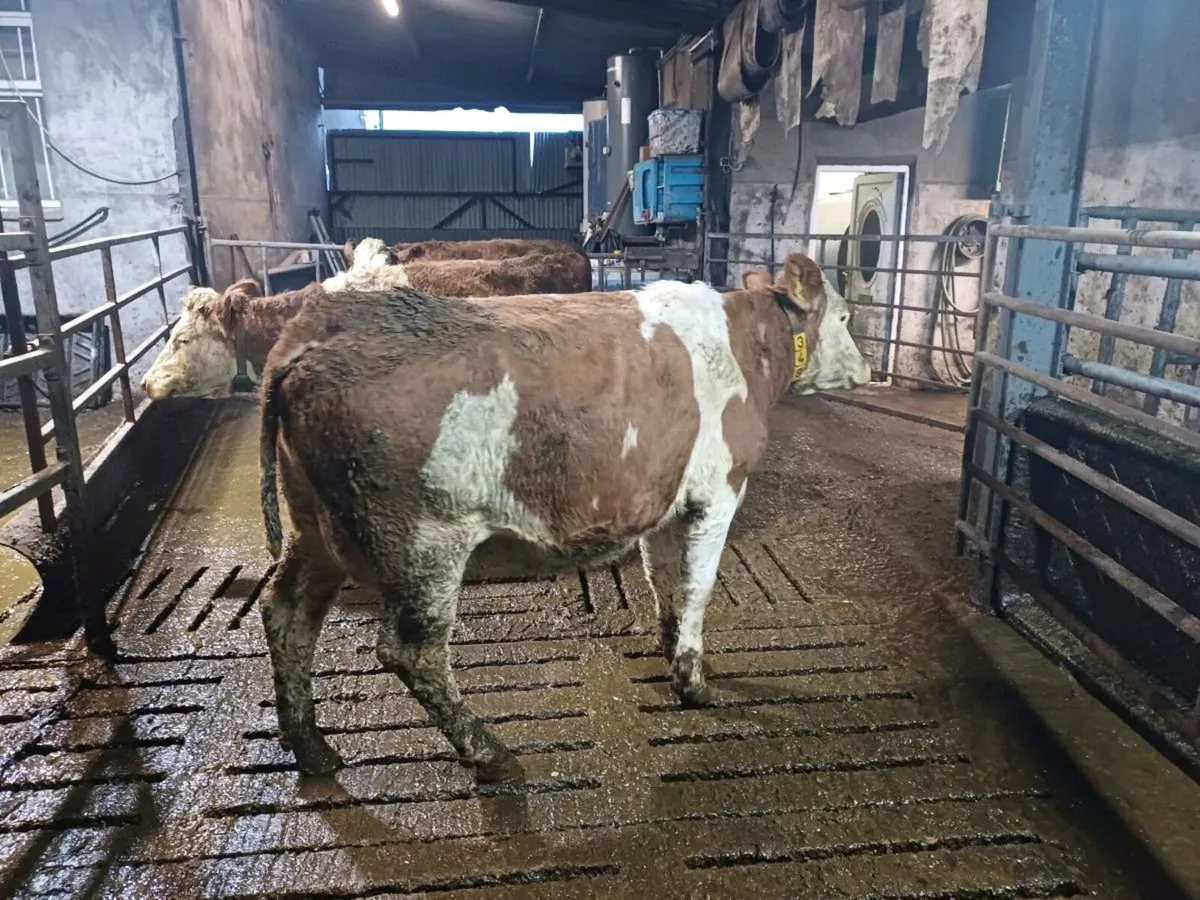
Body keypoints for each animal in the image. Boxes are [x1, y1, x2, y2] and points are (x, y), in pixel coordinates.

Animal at [256, 252, 872, 780]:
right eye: (845, 316)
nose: (867, 371)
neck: (747, 347)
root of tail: (321, 325)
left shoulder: (663, 496)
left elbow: (665, 583)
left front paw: (672, 654)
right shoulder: (721, 491)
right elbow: (698, 590)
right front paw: (694, 683)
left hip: (312, 525)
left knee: (288, 613)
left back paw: (311, 748)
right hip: (424, 539)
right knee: (413, 651)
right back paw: (490, 754)